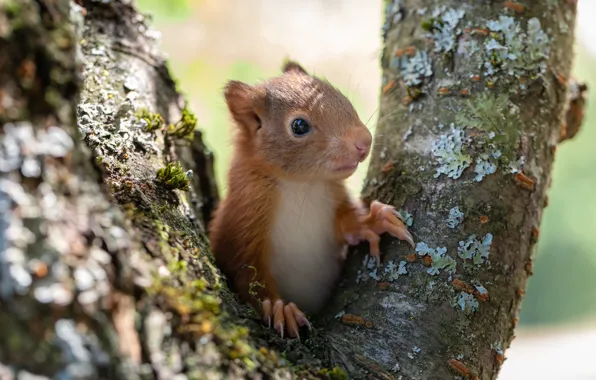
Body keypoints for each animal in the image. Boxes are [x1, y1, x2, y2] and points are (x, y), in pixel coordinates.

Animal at [210, 60, 414, 338]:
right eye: (299, 126)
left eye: (342, 98)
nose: (364, 141)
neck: (302, 185)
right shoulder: (243, 220)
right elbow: (247, 274)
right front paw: (279, 308)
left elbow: (348, 225)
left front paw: (373, 221)